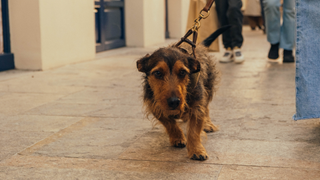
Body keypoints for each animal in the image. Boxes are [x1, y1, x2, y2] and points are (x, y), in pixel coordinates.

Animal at [136, 26, 229, 160]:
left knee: (206, 108)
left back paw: (207, 123)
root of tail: (199, 45)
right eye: (158, 73)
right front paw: (177, 137)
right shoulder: (155, 106)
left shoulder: (197, 106)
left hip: (208, 88)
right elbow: (169, 123)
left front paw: (196, 150)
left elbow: (194, 131)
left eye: (182, 72)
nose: (174, 102)